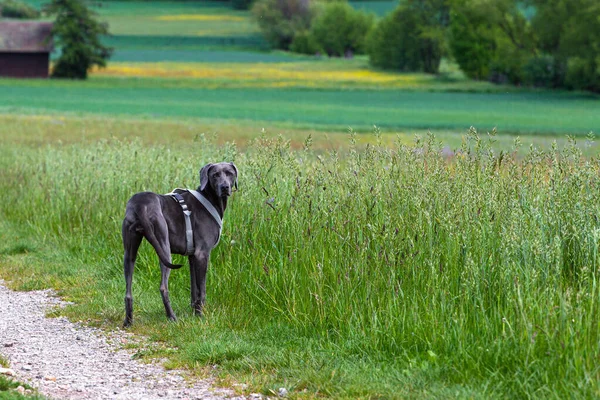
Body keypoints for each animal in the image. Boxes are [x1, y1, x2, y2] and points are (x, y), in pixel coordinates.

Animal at [120, 161, 238, 326]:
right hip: (164, 248)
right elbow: (202, 289)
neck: (209, 198)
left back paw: (128, 321)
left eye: (229, 173)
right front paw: (201, 316)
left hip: (129, 251)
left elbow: (194, 289)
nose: (225, 187)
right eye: (215, 175)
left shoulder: (193, 256)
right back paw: (172, 317)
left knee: (128, 291)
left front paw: (195, 312)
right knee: (163, 287)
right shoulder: (202, 254)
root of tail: (140, 205)